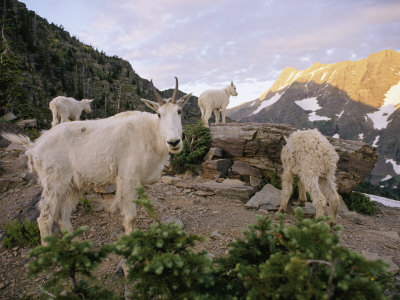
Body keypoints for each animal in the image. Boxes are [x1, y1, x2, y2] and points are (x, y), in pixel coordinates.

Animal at [2, 77, 191, 244]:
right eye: (159, 114)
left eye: (179, 111)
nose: (174, 142)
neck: (152, 133)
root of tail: (34, 146)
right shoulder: (127, 178)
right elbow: (131, 216)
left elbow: (148, 209)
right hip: (54, 183)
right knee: (45, 218)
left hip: (73, 186)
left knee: (62, 216)